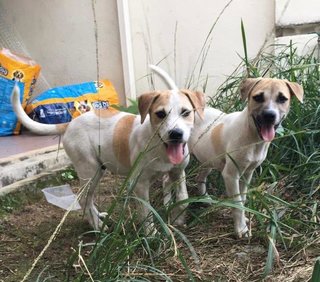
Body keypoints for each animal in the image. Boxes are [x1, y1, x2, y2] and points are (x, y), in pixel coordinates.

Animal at [11, 65, 205, 232]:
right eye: (160, 114)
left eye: (186, 112)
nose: (176, 134)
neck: (160, 148)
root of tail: (70, 123)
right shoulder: (140, 184)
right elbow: (146, 212)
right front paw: (151, 235)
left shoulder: (178, 173)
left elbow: (183, 198)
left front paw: (179, 220)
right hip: (90, 171)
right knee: (84, 199)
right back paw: (97, 226)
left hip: (98, 170)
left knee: (88, 199)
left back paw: (100, 218)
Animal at [189, 77, 304, 238]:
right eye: (258, 97)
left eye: (282, 98)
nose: (269, 115)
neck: (253, 138)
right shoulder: (231, 175)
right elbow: (237, 204)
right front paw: (241, 228)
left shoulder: (247, 173)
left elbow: (242, 199)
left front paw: (245, 219)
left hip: (208, 159)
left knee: (200, 178)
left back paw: (205, 198)